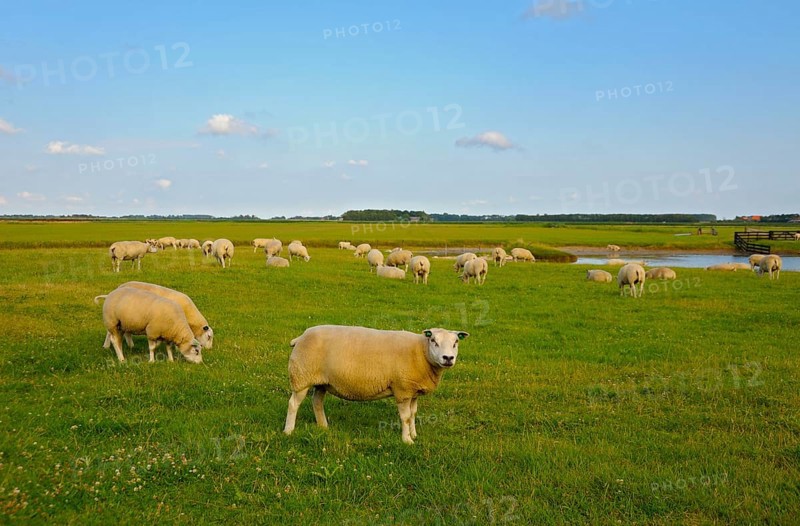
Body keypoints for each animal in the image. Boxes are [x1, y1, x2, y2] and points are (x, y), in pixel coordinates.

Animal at [283, 325, 469, 444]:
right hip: (301, 376)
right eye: (434, 341)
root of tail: (300, 337)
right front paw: (407, 440)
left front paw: (414, 434)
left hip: (323, 381)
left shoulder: (413, 390)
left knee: (317, 401)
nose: (448, 358)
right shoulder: (402, 389)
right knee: (293, 404)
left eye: (456, 343)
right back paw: (288, 431)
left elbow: (413, 414)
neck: (420, 351)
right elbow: (405, 417)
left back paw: (323, 426)